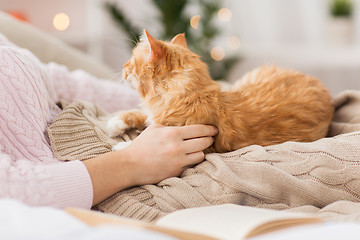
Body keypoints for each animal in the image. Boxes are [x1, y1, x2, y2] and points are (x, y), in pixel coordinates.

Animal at [107, 30, 334, 153]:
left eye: (130, 61)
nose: (123, 68)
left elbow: (143, 140)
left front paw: (124, 146)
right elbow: (139, 114)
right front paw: (116, 123)